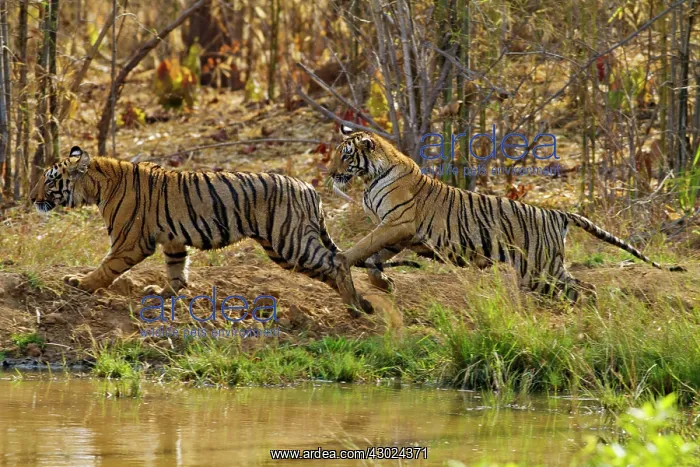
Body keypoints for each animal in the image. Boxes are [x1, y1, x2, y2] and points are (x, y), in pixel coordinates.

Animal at [30, 146, 416, 317]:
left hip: (289, 242)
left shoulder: (130, 240)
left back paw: (355, 306)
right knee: (333, 265)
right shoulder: (172, 239)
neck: (98, 185)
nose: (32, 198)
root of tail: (309, 188)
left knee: (336, 262)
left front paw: (81, 283)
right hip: (283, 246)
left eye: (49, 179)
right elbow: (176, 268)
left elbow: (106, 267)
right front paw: (166, 291)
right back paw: (359, 301)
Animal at [329, 126, 685, 301]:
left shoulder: (396, 223)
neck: (370, 176)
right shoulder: (398, 233)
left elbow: (362, 246)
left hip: (540, 270)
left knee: (583, 290)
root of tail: (558, 214)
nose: (329, 173)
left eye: (345, 156)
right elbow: (374, 260)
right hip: (546, 268)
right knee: (584, 287)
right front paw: (384, 284)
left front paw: (342, 259)